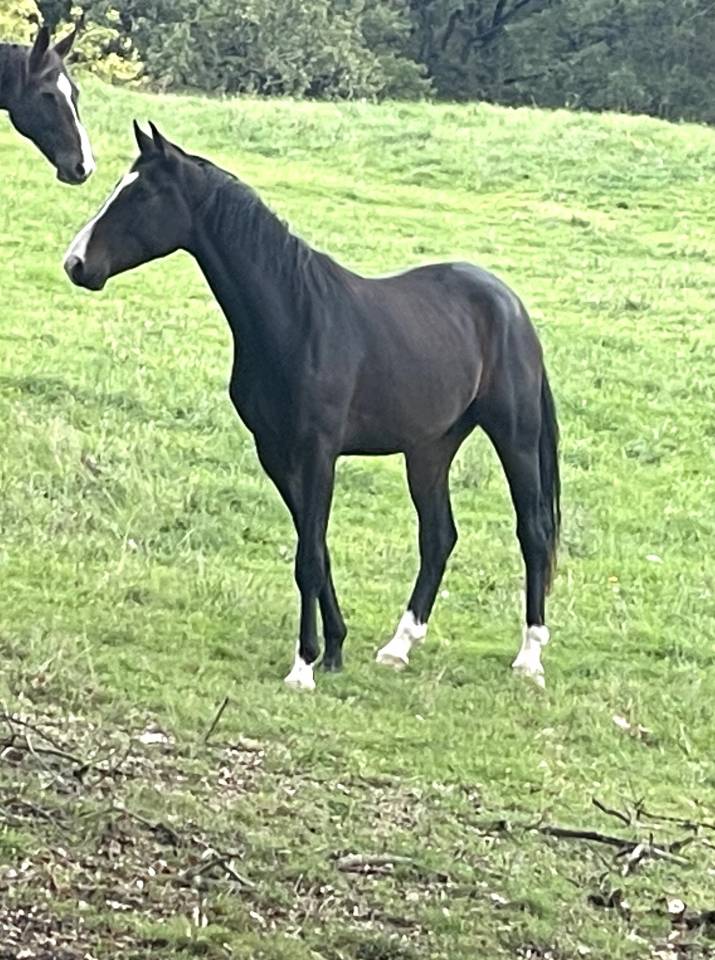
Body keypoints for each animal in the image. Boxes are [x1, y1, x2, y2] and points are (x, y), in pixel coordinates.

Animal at [64, 122, 560, 690]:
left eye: (143, 194)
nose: (76, 263)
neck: (295, 318)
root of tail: (511, 306)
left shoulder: (317, 452)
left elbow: (307, 557)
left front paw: (303, 666)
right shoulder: (276, 454)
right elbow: (316, 550)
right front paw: (334, 648)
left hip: (514, 437)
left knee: (532, 533)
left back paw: (529, 658)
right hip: (430, 449)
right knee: (438, 536)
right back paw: (398, 646)